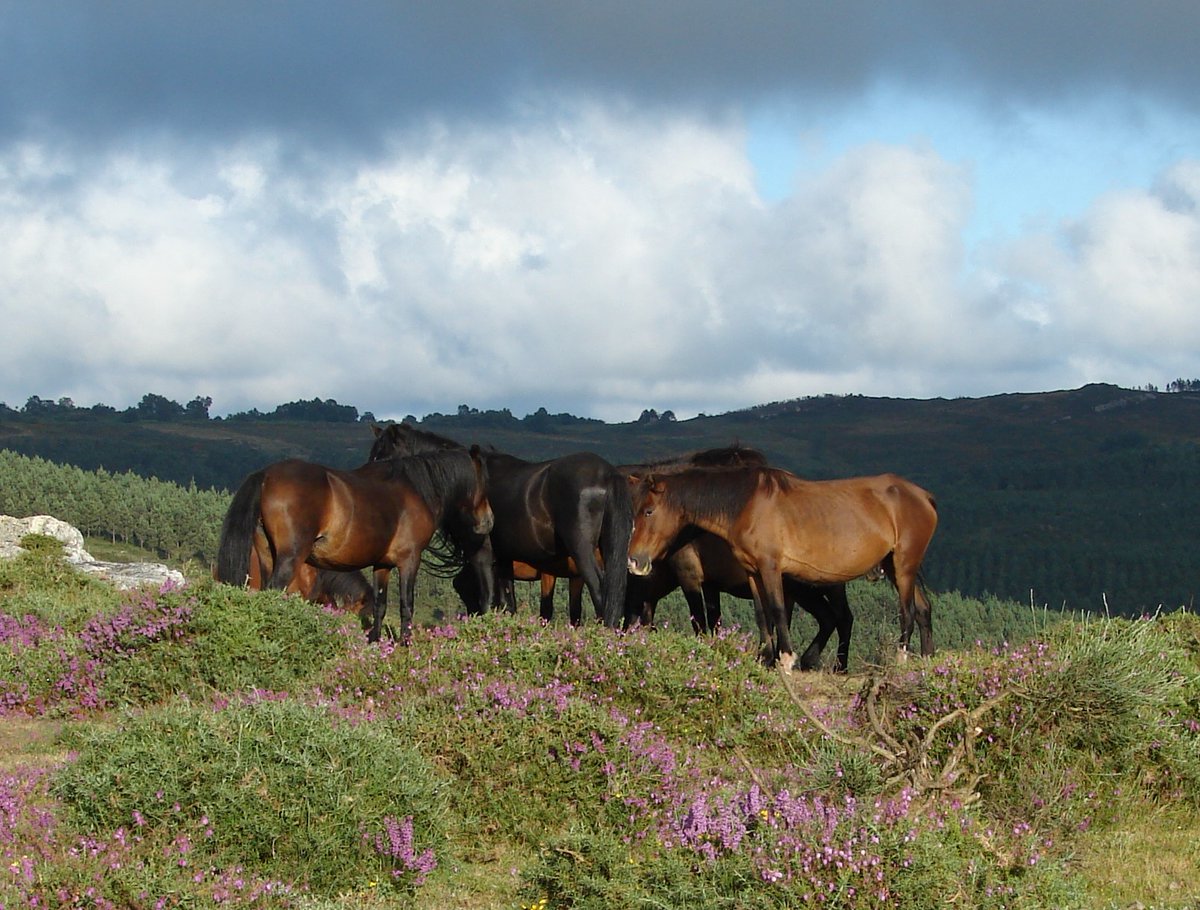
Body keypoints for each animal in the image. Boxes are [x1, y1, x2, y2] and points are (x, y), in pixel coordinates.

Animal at [217, 447, 494, 642]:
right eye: (483, 480)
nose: (488, 521)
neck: (415, 490)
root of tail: (266, 475)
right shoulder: (409, 560)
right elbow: (407, 604)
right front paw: (405, 643)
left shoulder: (382, 565)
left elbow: (381, 605)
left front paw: (376, 641)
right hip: (290, 559)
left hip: (267, 556)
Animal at [369, 422, 632, 628]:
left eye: (383, 457)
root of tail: (607, 473)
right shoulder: (504, 560)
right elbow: (507, 605)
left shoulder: (481, 555)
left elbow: (487, 600)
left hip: (581, 550)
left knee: (601, 591)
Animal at [626, 465, 937, 670]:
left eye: (649, 511)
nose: (634, 561)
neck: (747, 504)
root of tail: (923, 496)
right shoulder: (752, 571)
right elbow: (762, 614)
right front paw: (765, 658)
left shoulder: (770, 568)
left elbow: (777, 610)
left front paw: (785, 659)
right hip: (895, 567)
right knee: (923, 609)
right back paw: (926, 662)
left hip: (903, 566)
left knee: (906, 612)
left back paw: (899, 660)